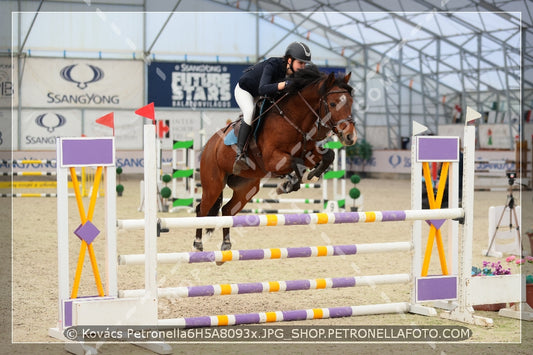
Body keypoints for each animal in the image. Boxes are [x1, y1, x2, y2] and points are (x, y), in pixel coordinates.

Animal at [193, 66, 356, 253]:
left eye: (351, 102)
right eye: (333, 104)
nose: (350, 137)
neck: (293, 119)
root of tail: (210, 144)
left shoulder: (307, 152)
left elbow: (328, 156)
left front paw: (310, 175)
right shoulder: (273, 160)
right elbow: (296, 164)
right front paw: (290, 183)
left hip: (246, 188)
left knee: (227, 210)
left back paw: (226, 244)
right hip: (213, 185)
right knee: (202, 209)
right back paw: (197, 243)